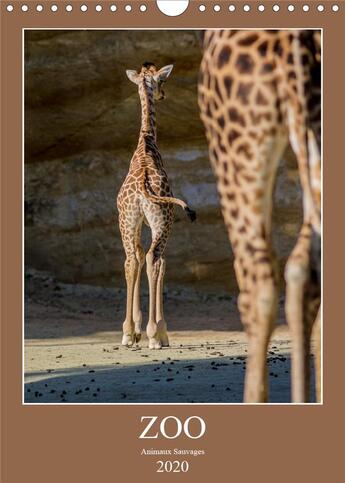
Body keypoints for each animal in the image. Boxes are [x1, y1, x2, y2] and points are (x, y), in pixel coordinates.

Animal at [116, 62, 195, 350]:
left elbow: (138, 258)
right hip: (163, 221)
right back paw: (154, 335)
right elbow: (158, 265)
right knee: (155, 260)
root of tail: (142, 189)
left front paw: (136, 330)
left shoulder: (138, 223)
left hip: (126, 222)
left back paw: (128, 333)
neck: (147, 142)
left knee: (132, 260)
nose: (162, 95)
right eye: (162, 81)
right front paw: (159, 332)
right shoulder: (160, 220)